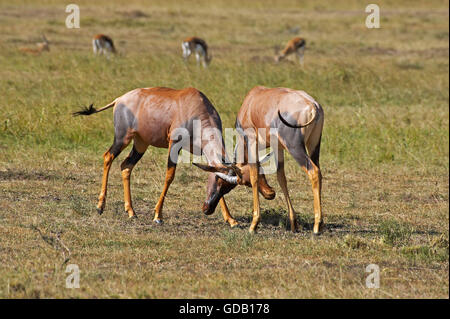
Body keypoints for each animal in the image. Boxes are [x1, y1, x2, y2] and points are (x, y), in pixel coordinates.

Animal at [74, 87, 241, 228]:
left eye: (227, 187)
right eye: (218, 181)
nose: (207, 210)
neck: (194, 106)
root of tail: (119, 99)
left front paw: (231, 220)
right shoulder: (174, 144)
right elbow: (169, 176)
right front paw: (157, 216)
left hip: (141, 143)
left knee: (126, 165)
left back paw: (131, 212)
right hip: (122, 138)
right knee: (108, 156)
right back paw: (100, 206)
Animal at [196, 87, 324, 235]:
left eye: (224, 184)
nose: (206, 209)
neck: (250, 103)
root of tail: (313, 106)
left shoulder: (251, 140)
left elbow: (254, 175)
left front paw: (253, 225)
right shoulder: (278, 147)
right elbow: (281, 178)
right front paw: (293, 224)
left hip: (294, 147)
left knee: (313, 171)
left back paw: (317, 226)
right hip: (314, 145)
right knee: (318, 171)